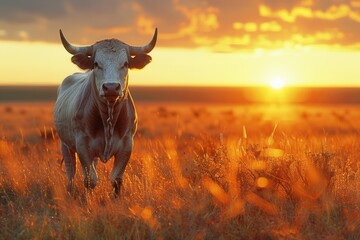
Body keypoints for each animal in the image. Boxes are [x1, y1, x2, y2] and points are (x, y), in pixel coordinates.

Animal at [53, 27, 158, 195]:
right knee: (70, 171)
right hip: (65, 145)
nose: (111, 87)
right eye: (96, 64)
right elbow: (90, 179)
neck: (109, 117)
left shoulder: (127, 145)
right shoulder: (82, 146)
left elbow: (116, 179)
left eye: (125, 63)